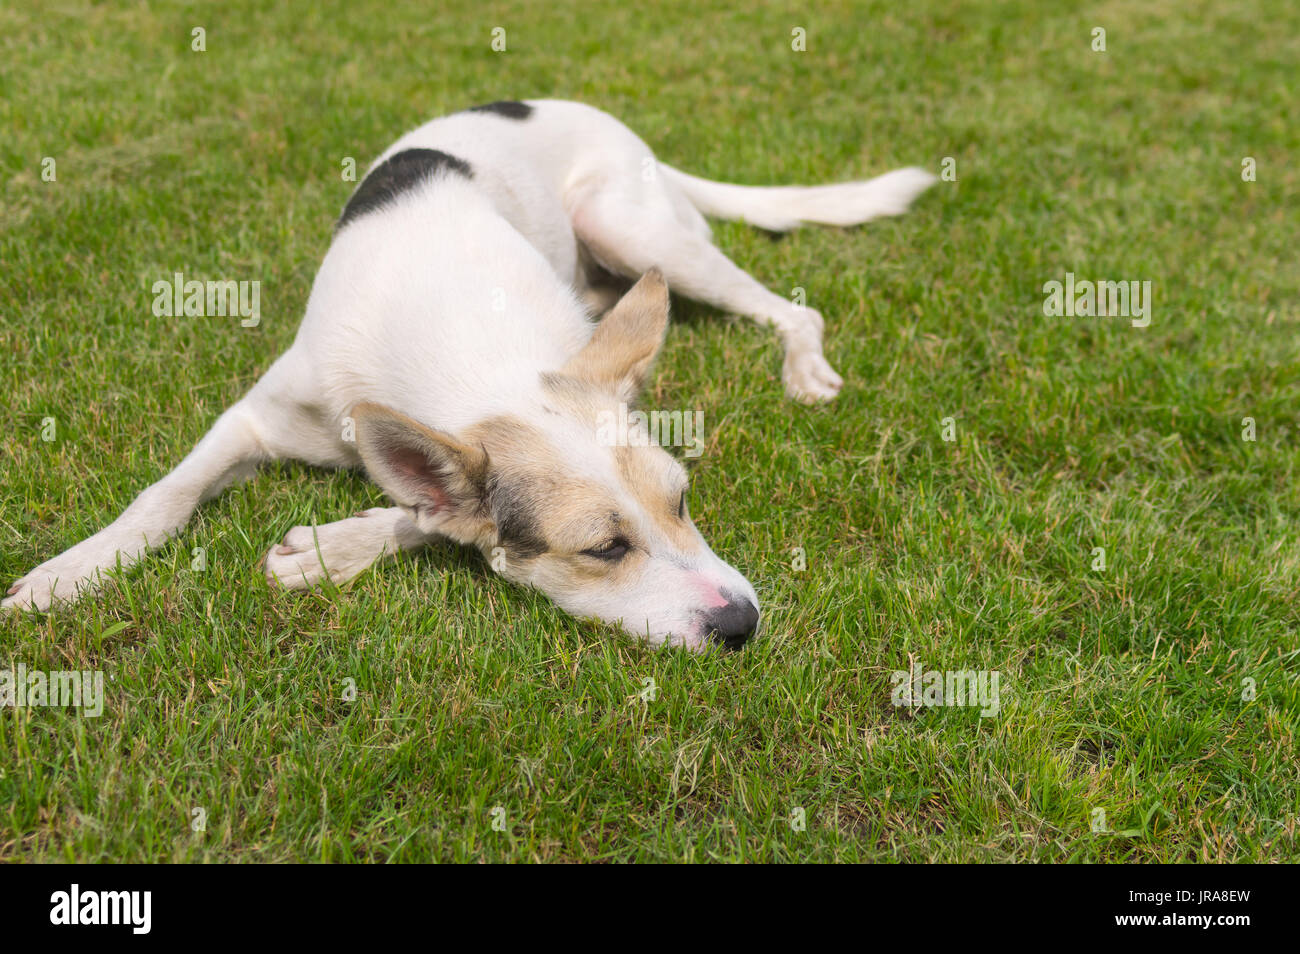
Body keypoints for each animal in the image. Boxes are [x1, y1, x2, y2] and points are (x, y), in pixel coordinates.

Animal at [2, 98, 935, 649]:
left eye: (682, 501)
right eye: (604, 549)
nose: (744, 623)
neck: (475, 357)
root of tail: (618, 128)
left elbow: (436, 514)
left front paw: (329, 549)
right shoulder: (257, 417)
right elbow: (164, 498)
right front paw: (68, 575)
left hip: (631, 226)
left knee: (796, 311)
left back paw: (805, 367)